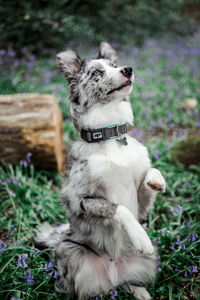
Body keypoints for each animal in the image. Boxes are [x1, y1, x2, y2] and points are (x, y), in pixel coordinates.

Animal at [34, 42, 166, 300]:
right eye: (96, 73)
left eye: (115, 65)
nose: (128, 69)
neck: (110, 136)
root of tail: (113, 268)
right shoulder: (79, 200)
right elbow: (118, 208)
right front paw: (139, 235)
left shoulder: (142, 204)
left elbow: (151, 171)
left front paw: (157, 181)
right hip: (72, 253)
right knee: (92, 291)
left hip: (151, 260)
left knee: (122, 283)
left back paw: (139, 291)